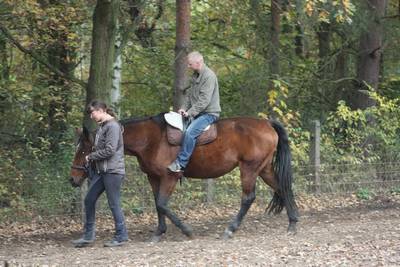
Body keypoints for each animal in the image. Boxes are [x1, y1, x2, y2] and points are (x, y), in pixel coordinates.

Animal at [70, 113, 298, 243]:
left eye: (84, 150)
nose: (73, 179)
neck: (150, 139)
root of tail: (267, 123)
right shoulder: (154, 178)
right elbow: (158, 204)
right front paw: (159, 232)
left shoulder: (169, 176)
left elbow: (162, 204)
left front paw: (186, 230)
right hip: (264, 168)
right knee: (282, 187)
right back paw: (293, 222)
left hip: (249, 169)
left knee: (248, 198)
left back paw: (230, 229)